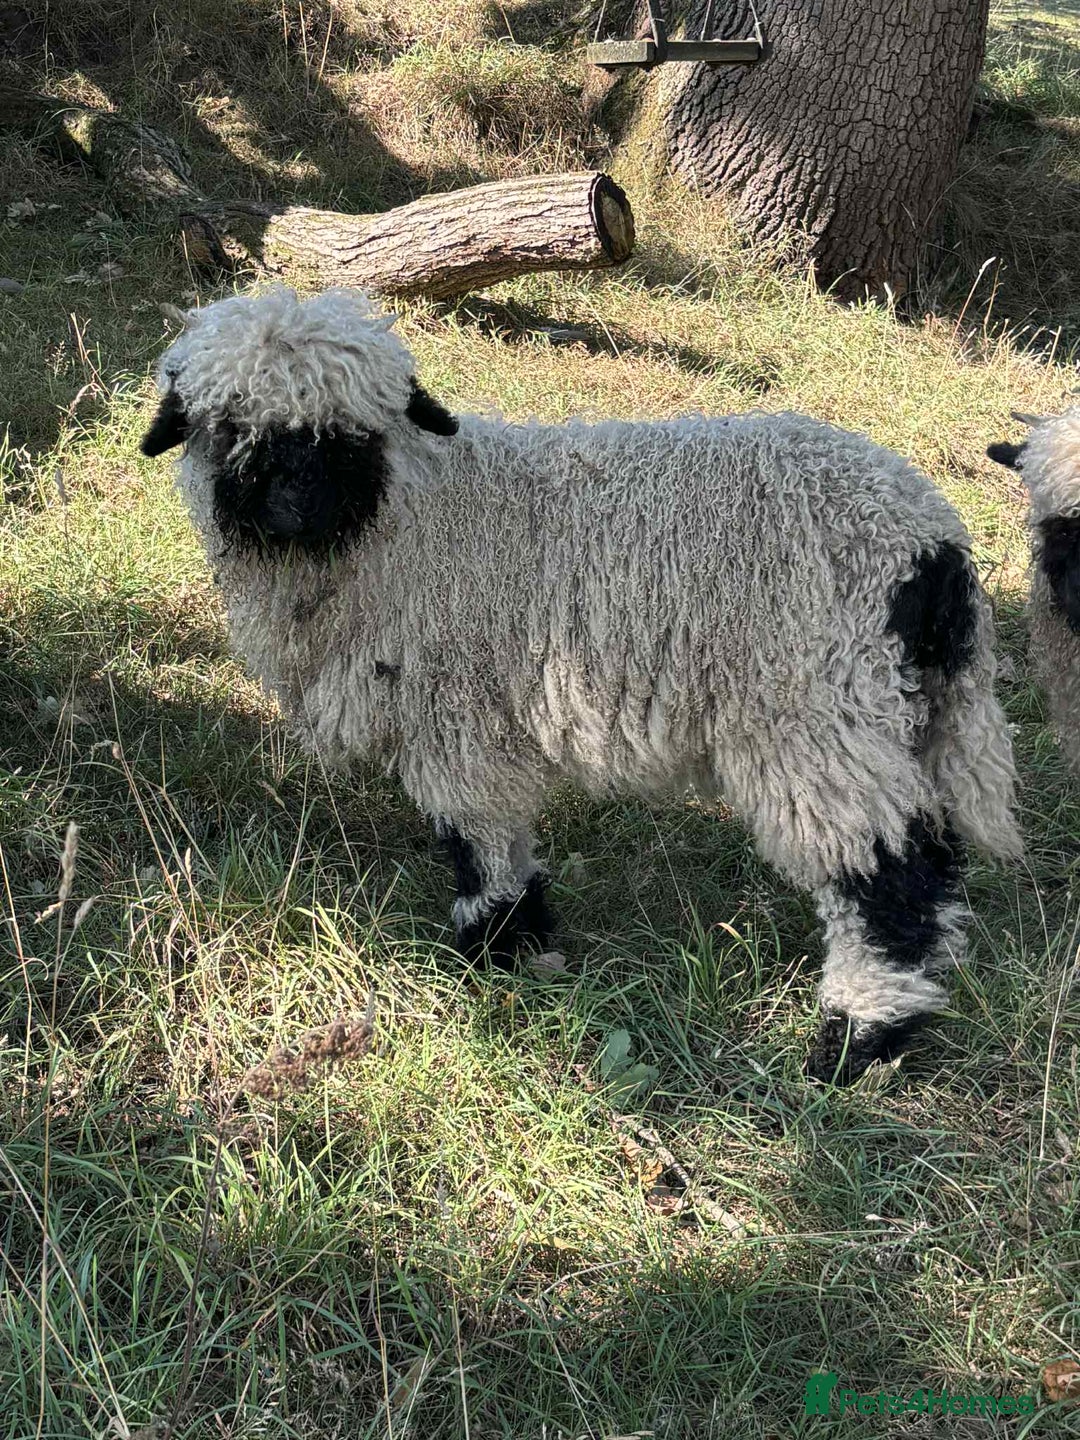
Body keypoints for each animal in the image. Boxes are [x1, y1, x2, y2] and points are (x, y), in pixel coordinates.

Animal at [140, 285, 1022, 1085]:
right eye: (229, 426)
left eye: (352, 433)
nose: (294, 503)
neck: (407, 517)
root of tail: (932, 544)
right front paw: (515, 934)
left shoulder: (457, 713)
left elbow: (477, 833)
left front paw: (497, 941)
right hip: (887, 707)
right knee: (934, 850)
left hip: (815, 707)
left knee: (887, 872)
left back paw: (856, 1040)